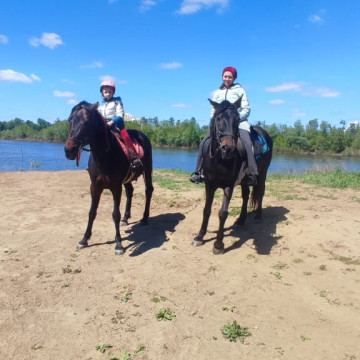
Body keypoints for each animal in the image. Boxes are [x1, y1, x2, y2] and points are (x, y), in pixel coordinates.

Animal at [64, 100, 153, 255]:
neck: (105, 154)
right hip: (127, 179)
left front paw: (118, 244)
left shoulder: (116, 187)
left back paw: (144, 218)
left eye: (86, 122)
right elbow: (92, 212)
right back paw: (126, 218)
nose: (69, 150)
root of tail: (143, 135)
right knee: (130, 191)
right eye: (70, 120)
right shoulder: (95, 186)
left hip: (147, 171)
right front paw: (84, 239)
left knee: (148, 191)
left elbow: (115, 214)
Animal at [193, 100, 272, 255]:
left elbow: (223, 213)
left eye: (237, 119)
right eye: (218, 118)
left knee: (260, 192)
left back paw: (258, 216)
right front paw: (200, 236)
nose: (228, 149)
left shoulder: (228, 185)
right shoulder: (209, 185)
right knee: (246, 195)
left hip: (263, 173)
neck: (219, 161)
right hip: (244, 181)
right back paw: (241, 220)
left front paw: (218, 244)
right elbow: (206, 210)